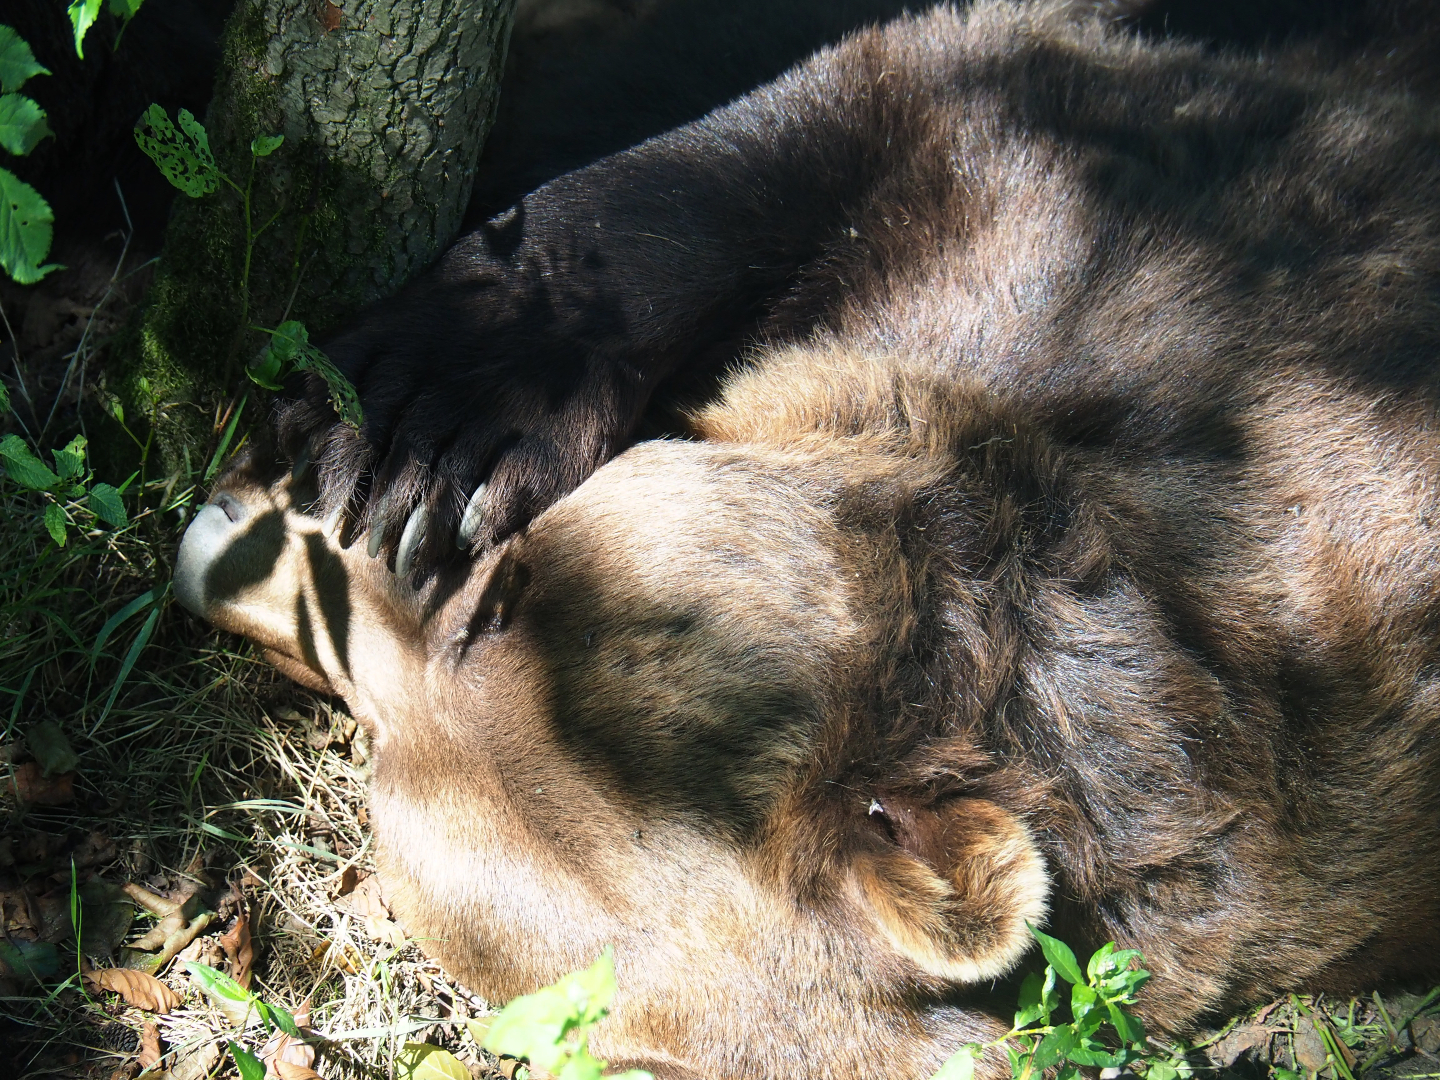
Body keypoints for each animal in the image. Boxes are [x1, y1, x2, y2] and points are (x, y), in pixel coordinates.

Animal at [175, 1, 1440, 1077]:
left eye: (382, 748)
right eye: (506, 593)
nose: (210, 545)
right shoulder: (1112, 225)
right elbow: (802, 129)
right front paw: (418, 420)